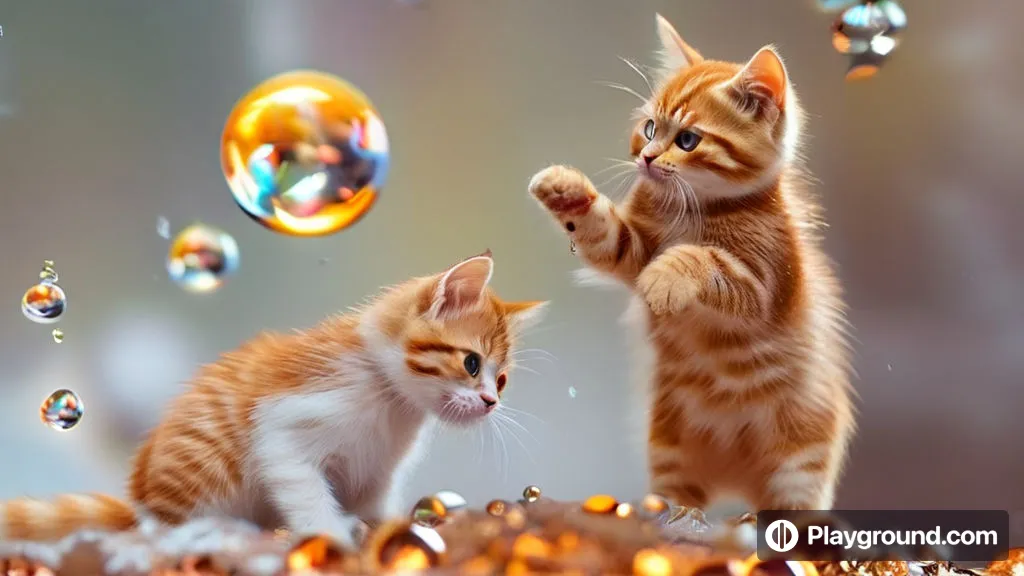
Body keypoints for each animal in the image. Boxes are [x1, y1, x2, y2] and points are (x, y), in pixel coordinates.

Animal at [0, 251, 548, 541]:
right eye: (472, 364)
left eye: (501, 380)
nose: (491, 403)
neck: (392, 402)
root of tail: (138, 504)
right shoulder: (284, 431)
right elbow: (303, 488)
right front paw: (332, 533)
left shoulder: (377, 474)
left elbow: (374, 502)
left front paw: (384, 528)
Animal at [532, 13, 851, 508]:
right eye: (649, 129)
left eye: (686, 139)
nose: (645, 158)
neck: (692, 211)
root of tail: (736, 483)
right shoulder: (631, 248)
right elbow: (605, 233)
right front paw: (566, 190)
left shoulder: (768, 287)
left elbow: (708, 263)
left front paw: (669, 276)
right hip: (670, 446)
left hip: (800, 463)